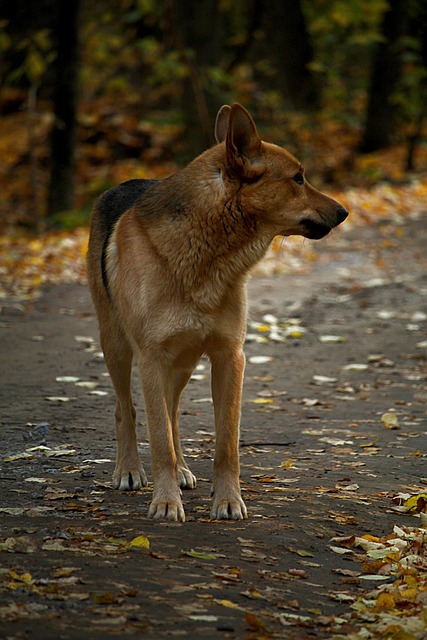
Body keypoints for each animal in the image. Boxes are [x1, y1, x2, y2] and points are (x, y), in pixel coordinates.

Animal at [86, 101, 348, 520]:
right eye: (297, 178)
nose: (344, 211)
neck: (207, 254)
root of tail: (121, 184)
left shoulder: (229, 357)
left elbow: (225, 442)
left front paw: (226, 499)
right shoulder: (151, 358)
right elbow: (158, 439)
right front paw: (165, 502)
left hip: (184, 361)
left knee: (173, 413)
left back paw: (181, 469)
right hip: (118, 348)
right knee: (126, 409)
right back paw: (129, 469)